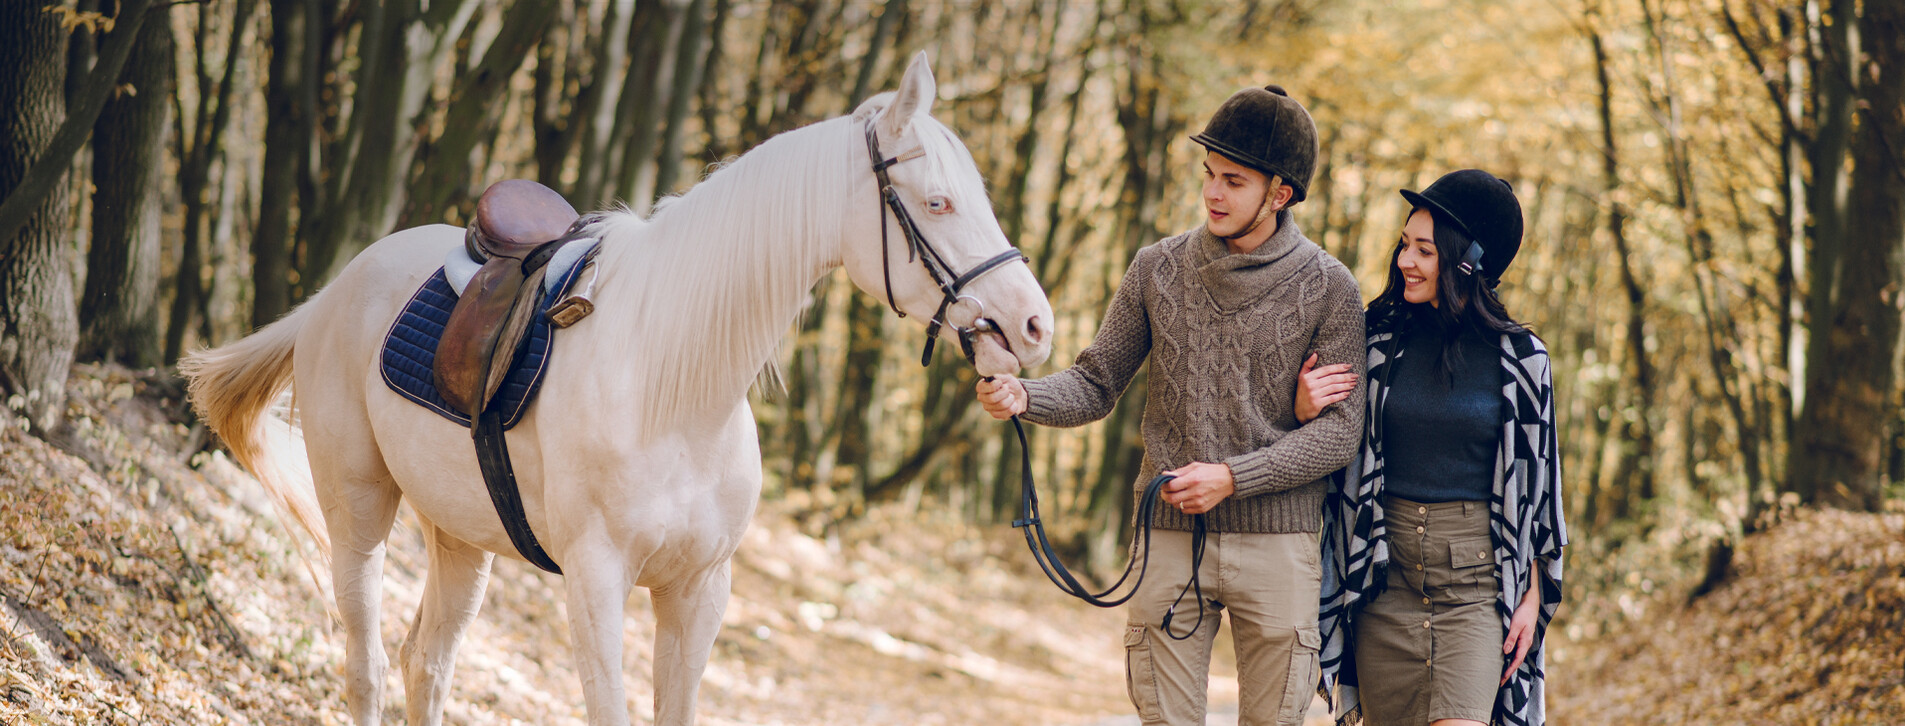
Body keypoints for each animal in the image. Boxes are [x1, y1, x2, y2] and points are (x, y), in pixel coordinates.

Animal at [183, 55, 1051, 724]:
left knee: (424, 663)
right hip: (359, 511)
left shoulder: (699, 590)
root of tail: (334, 291)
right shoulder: (597, 582)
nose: (1033, 325)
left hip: (460, 537)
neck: (673, 387)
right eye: (936, 202)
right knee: (364, 663)